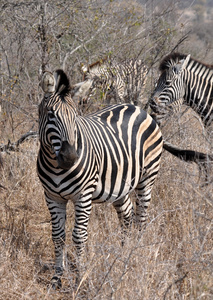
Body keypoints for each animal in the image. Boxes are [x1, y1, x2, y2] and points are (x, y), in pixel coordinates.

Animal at [37, 68, 211, 288]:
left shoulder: (83, 196)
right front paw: (56, 279)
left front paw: (79, 279)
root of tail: (139, 109)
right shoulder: (52, 196)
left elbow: (79, 235)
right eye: (51, 114)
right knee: (127, 217)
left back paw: (136, 254)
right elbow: (58, 236)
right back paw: (123, 254)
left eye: (75, 116)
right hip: (120, 185)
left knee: (140, 219)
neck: (56, 165)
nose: (70, 157)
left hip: (147, 179)